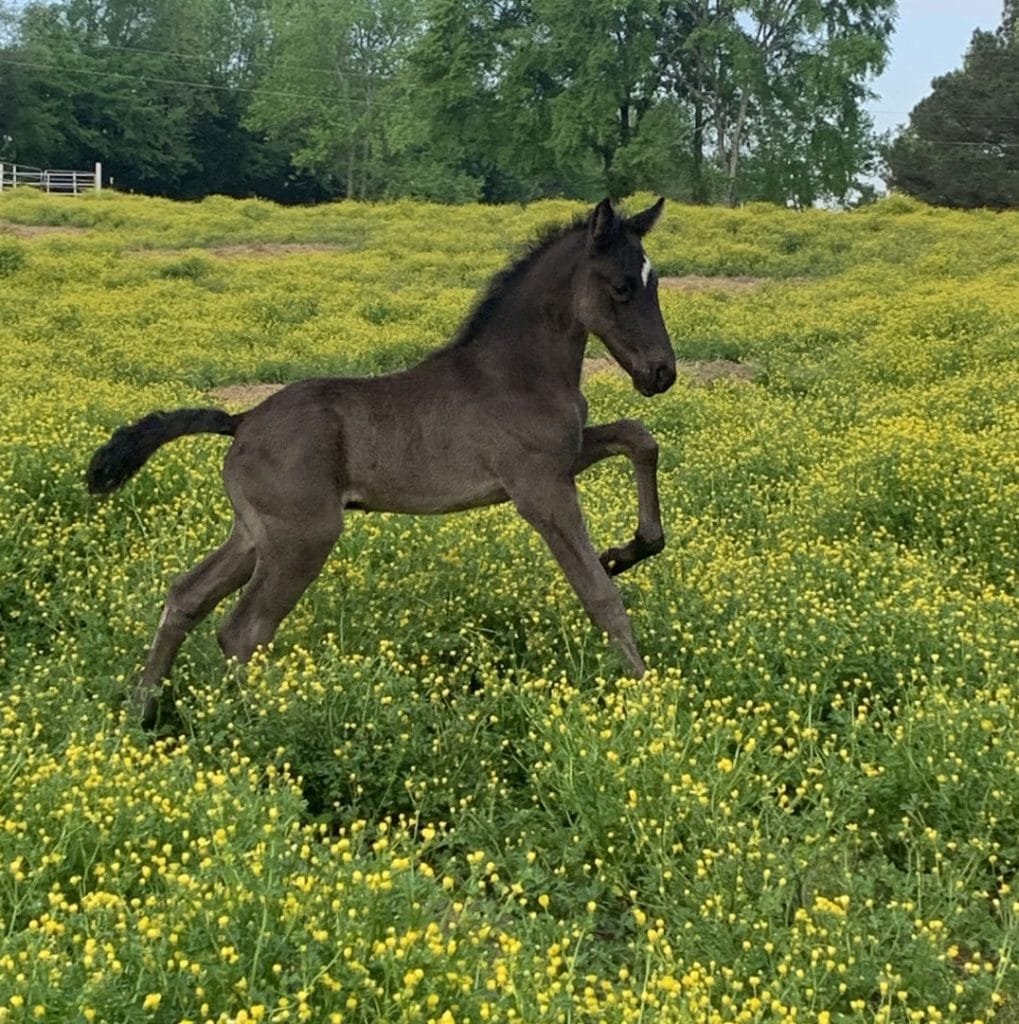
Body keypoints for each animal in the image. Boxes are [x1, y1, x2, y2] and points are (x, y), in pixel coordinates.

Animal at [87, 198, 676, 728]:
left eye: (655, 284)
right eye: (621, 286)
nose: (662, 373)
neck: (518, 372)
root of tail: (242, 419)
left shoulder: (566, 457)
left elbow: (639, 438)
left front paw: (626, 551)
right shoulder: (540, 488)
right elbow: (600, 597)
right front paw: (649, 700)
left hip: (254, 533)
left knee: (186, 596)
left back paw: (142, 714)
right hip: (303, 536)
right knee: (243, 631)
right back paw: (262, 728)